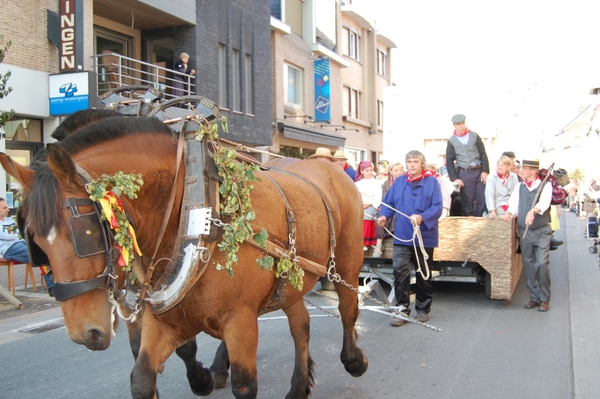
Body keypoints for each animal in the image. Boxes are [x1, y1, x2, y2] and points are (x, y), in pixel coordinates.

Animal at [2, 116, 368, 399]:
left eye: (85, 233)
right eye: (35, 241)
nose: (85, 334)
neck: (194, 210)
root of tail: (330, 168)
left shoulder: (240, 320)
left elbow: (244, 384)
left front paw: (209, 377)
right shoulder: (160, 317)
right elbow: (142, 376)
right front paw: (202, 378)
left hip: (346, 265)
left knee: (348, 309)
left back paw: (354, 360)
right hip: (290, 280)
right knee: (300, 325)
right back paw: (298, 385)